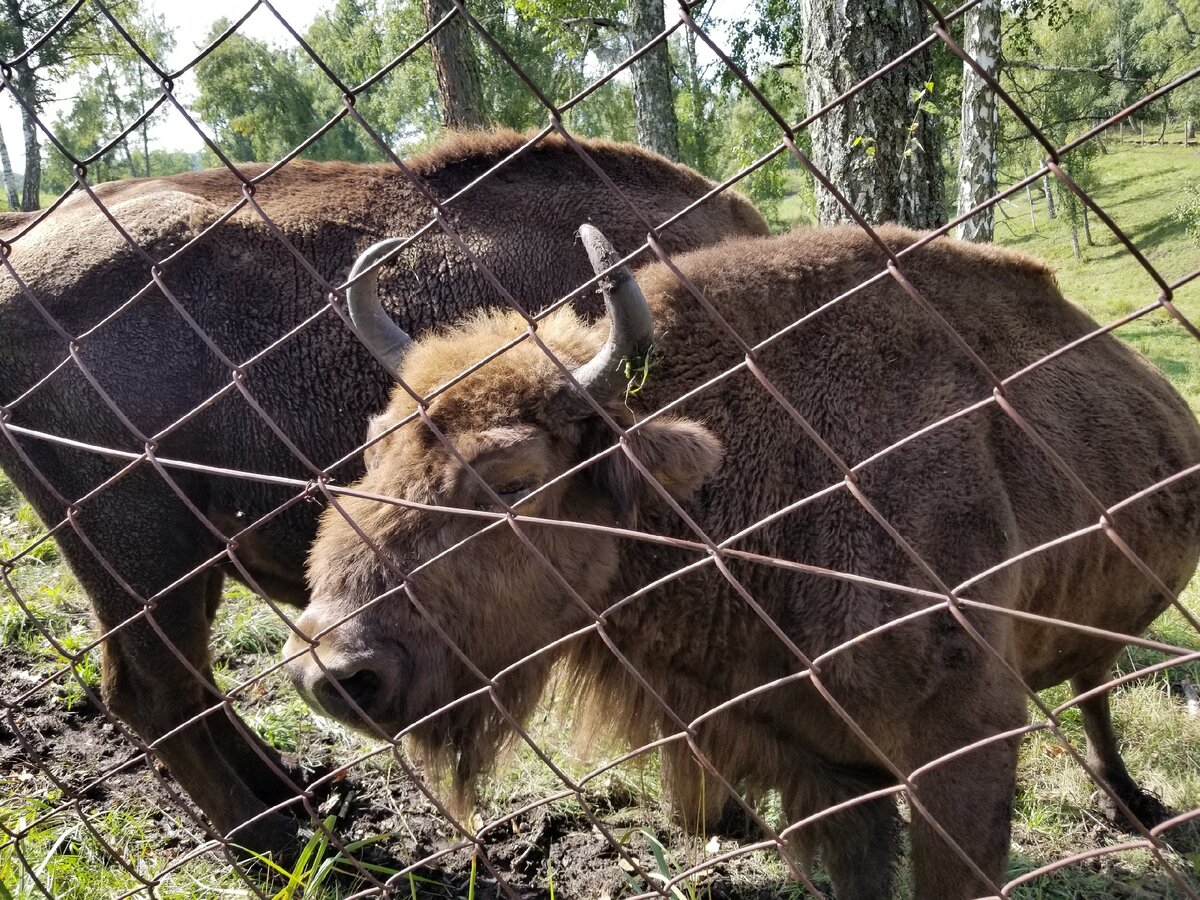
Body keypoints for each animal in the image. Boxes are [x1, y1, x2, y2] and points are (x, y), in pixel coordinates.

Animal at [0, 128, 768, 854]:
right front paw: (725, 817)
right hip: (139, 549)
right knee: (154, 693)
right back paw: (275, 841)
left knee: (189, 682)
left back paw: (293, 796)